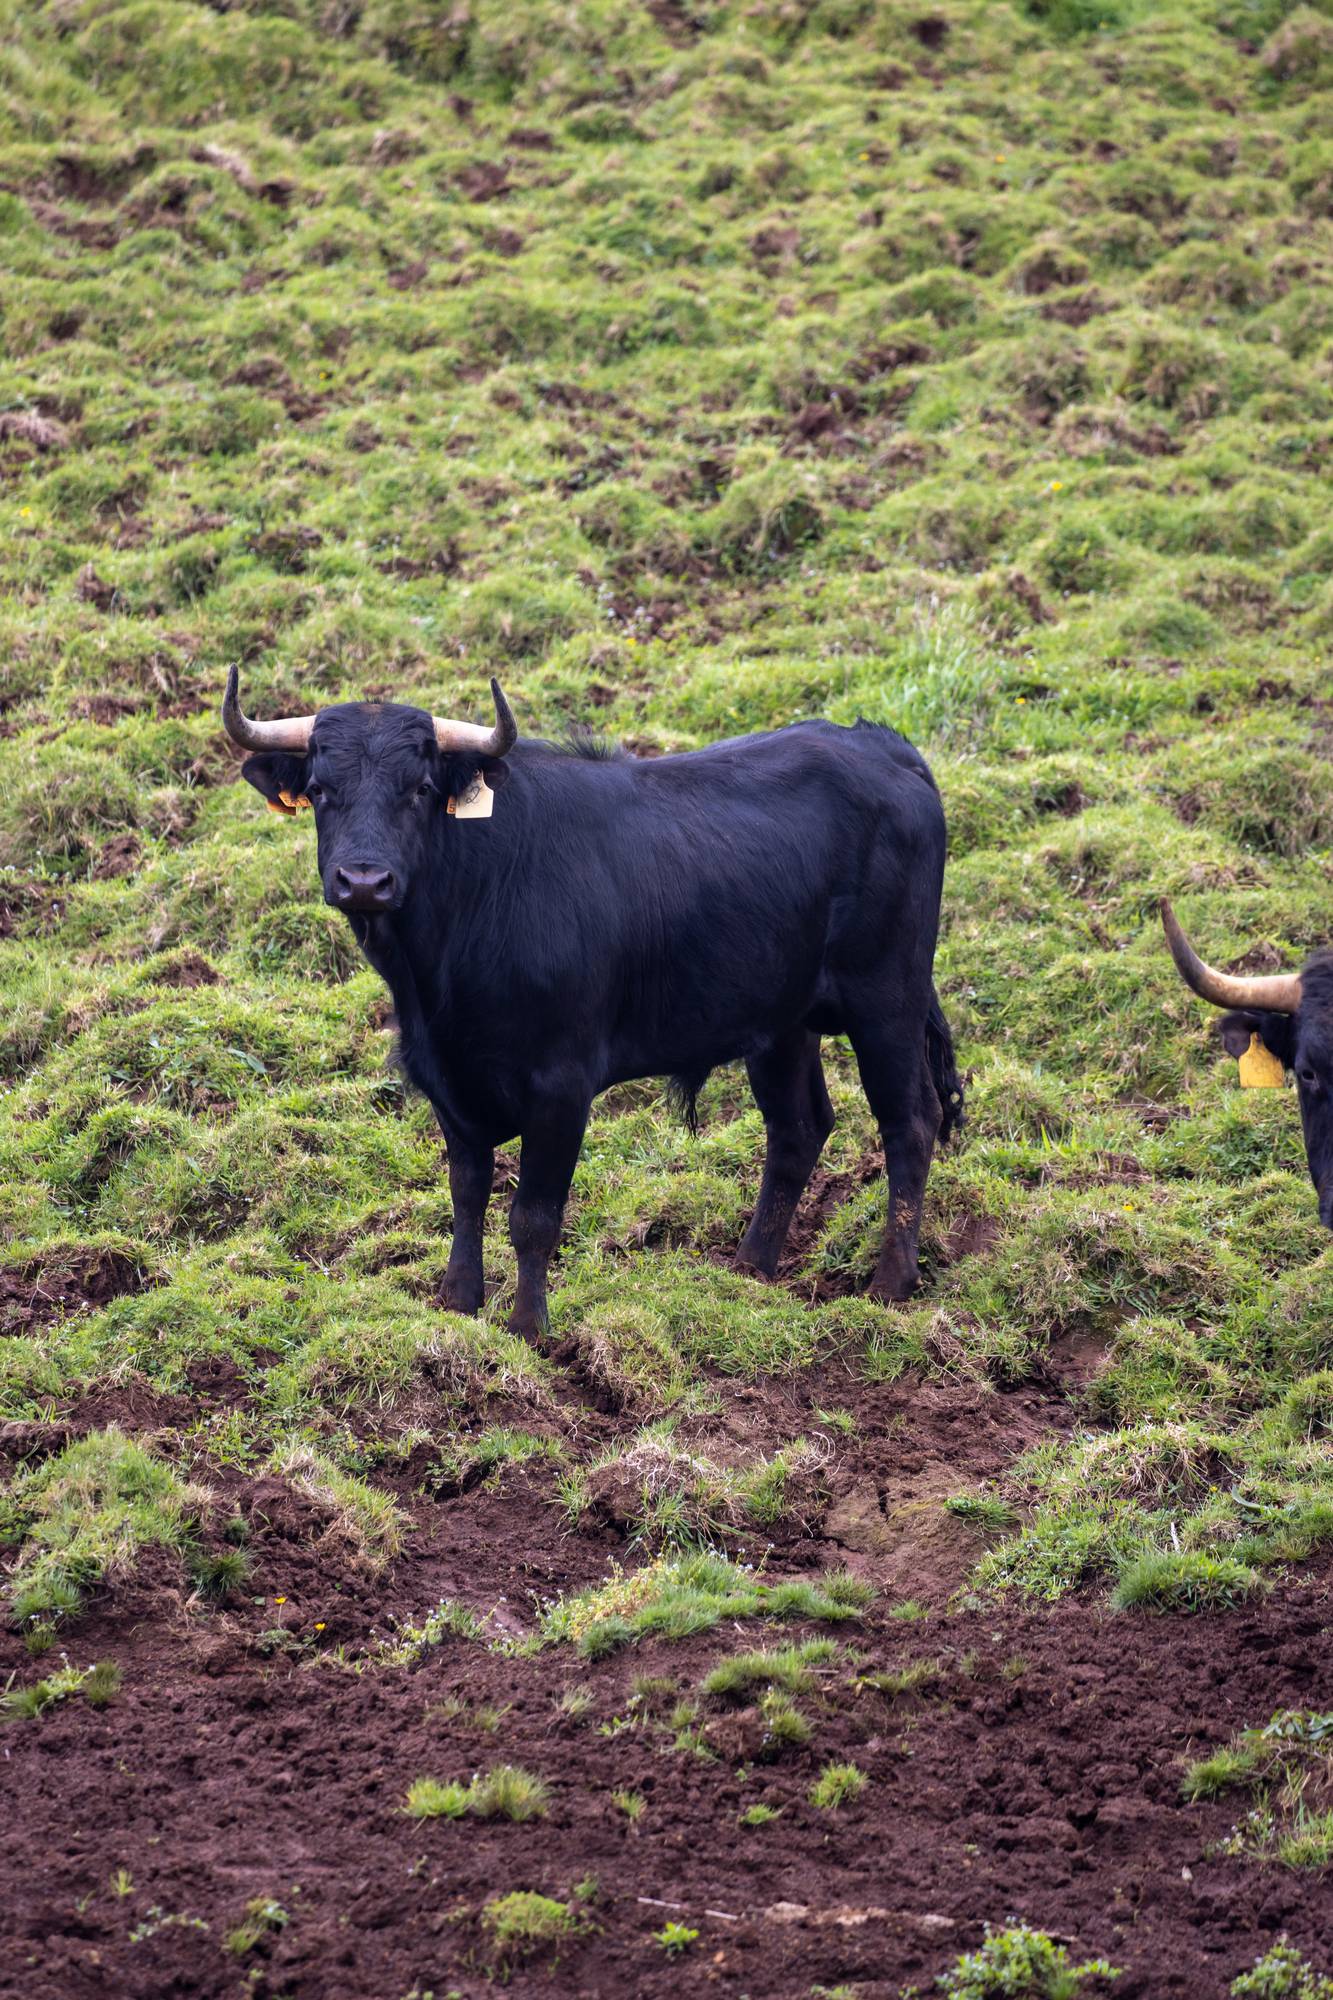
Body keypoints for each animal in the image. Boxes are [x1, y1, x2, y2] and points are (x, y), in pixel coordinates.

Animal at [224, 667, 964, 1337]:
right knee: (797, 1128)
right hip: (782, 1021)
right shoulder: (446, 1080)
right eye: (320, 791)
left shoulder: (561, 1083)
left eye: (420, 790)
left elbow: (533, 1215)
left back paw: (890, 1283)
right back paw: (749, 1268)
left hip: (887, 997)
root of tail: (881, 746)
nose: (363, 880)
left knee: (910, 1121)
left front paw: (527, 1327)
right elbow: (467, 1193)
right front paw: (458, 1302)